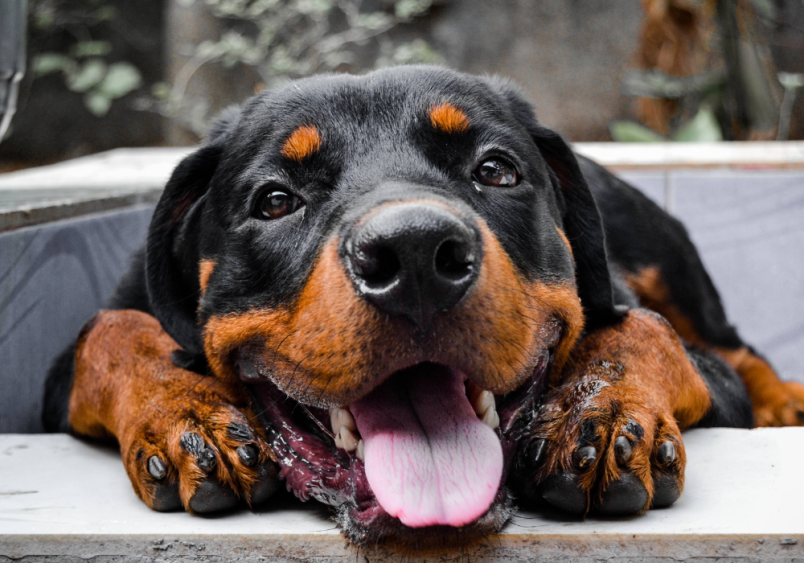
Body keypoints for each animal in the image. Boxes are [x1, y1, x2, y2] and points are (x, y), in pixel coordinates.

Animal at [42, 65, 804, 548]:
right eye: (275, 200)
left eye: (495, 169)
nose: (413, 254)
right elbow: (110, 329)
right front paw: (185, 410)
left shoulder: (684, 348)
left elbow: (646, 328)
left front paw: (600, 409)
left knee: (735, 342)